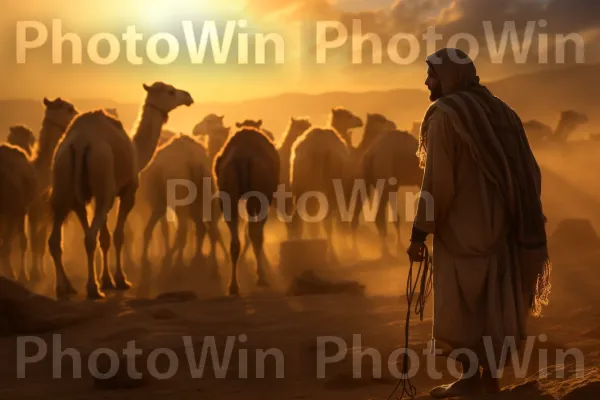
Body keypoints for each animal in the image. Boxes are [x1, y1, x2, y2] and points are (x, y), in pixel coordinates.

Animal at [0, 98, 78, 282]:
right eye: (69, 108)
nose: (78, 114)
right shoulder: (21, 208)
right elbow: (24, 241)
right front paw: (23, 275)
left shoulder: (20, 210)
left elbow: (24, 243)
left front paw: (19, 273)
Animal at [47, 82, 192, 300]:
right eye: (171, 91)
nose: (188, 96)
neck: (137, 152)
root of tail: (80, 143)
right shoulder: (126, 193)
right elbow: (117, 236)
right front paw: (120, 280)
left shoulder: (92, 198)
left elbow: (104, 237)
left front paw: (107, 280)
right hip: (102, 172)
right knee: (89, 237)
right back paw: (92, 289)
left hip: (63, 182)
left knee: (56, 239)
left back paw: (64, 287)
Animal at [214, 126, 280, 296]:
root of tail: (242, 156)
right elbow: (257, 233)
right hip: (258, 194)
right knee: (255, 233)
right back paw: (262, 279)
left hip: (228, 192)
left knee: (235, 239)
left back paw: (233, 287)